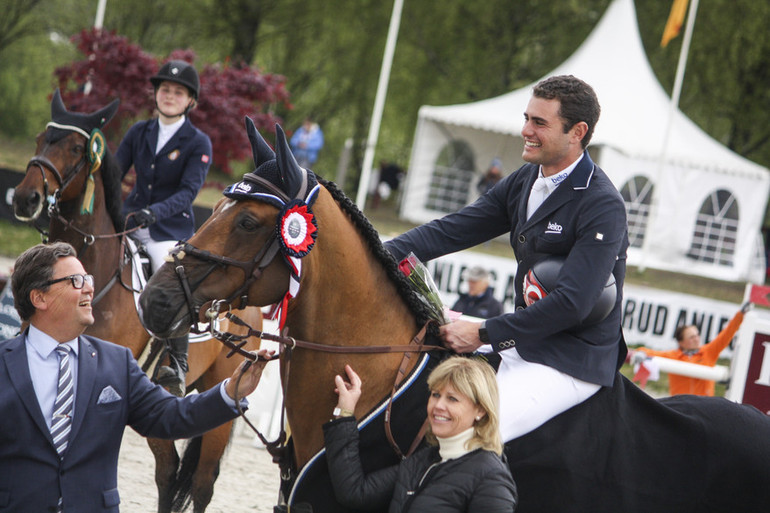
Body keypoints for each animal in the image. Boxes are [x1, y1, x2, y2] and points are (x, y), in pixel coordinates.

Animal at [12, 90, 260, 510]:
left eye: (76, 147)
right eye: (40, 139)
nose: (25, 198)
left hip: (221, 399)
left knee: (202, 483)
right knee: (168, 471)